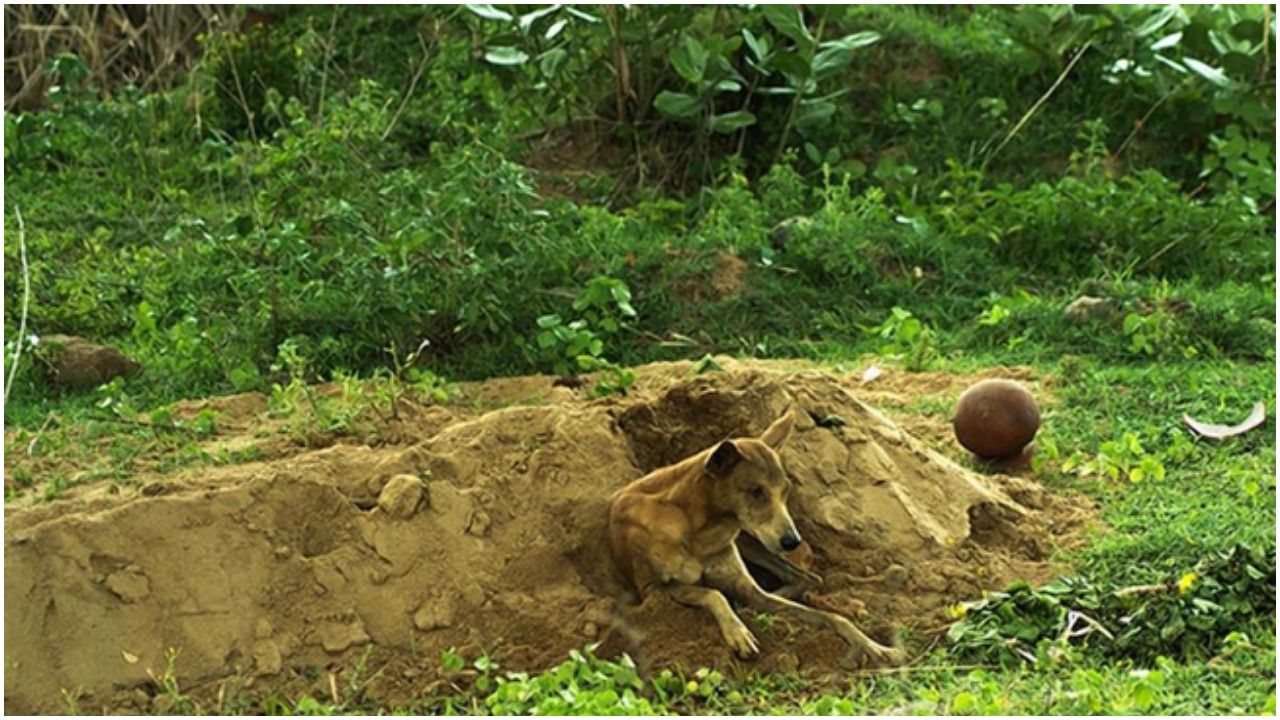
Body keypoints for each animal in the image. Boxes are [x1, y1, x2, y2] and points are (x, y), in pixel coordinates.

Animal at [606, 409, 901, 661]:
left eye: (786, 490)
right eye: (756, 491)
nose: (793, 541)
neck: (698, 525)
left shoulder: (744, 583)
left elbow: (832, 617)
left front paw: (873, 645)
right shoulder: (653, 590)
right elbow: (712, 593)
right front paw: (738, 632)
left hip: (751, 542)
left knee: (806, 578)